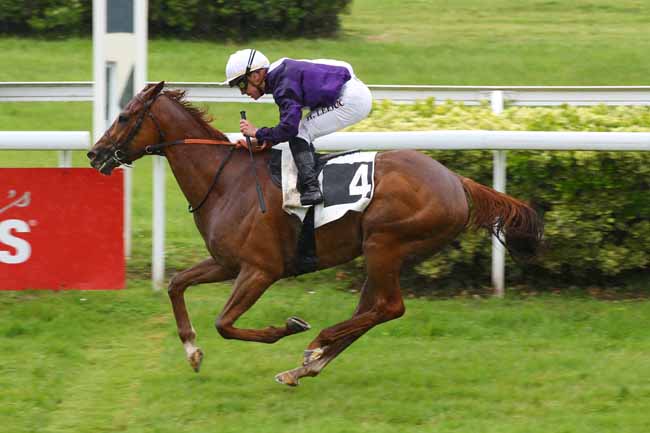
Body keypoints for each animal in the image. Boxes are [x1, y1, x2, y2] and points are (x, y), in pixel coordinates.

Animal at [86, 81, 540, 384]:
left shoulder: (261, 270)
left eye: (124, 116)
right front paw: (192, 350)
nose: (94, 153)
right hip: (383, 253)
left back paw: (316, 343)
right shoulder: (226, 262)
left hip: (385, 243)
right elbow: (177, 284)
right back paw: (307, 364)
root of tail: (455, 181)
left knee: (390, 308)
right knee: (371, 310)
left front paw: (289, 327)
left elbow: (225, 323)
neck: (226, 181)